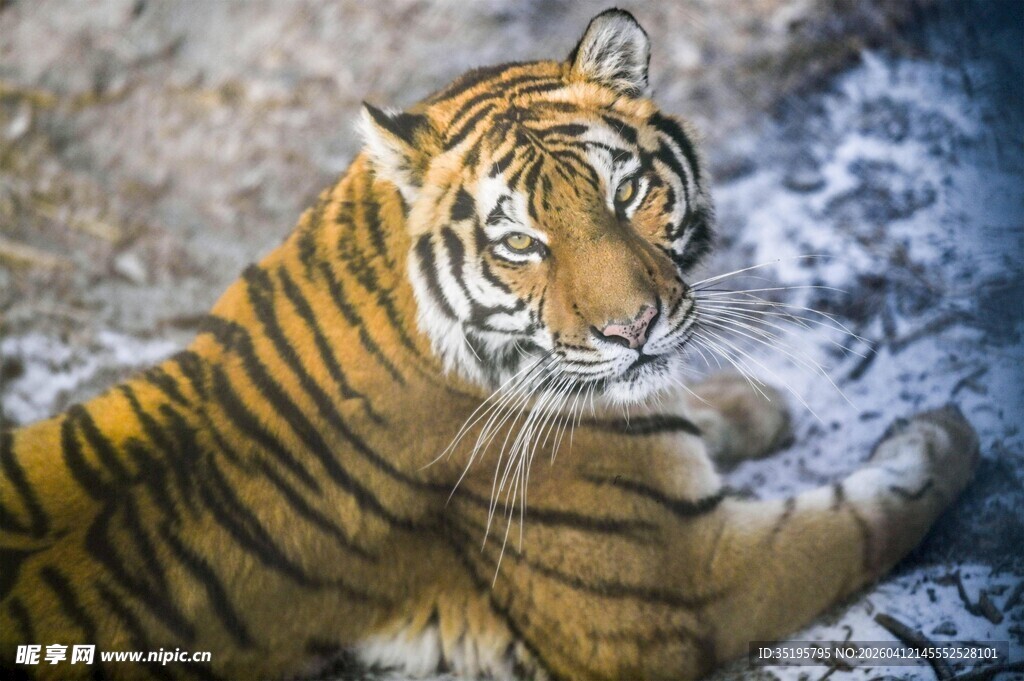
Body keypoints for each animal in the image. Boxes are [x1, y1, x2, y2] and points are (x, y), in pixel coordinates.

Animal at [0, 9, 980, 681]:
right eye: (520, 243)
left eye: (627, 194)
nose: (634, 328)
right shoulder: (685, 582)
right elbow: (861, 520)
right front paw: (945, 437)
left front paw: (746, 403)